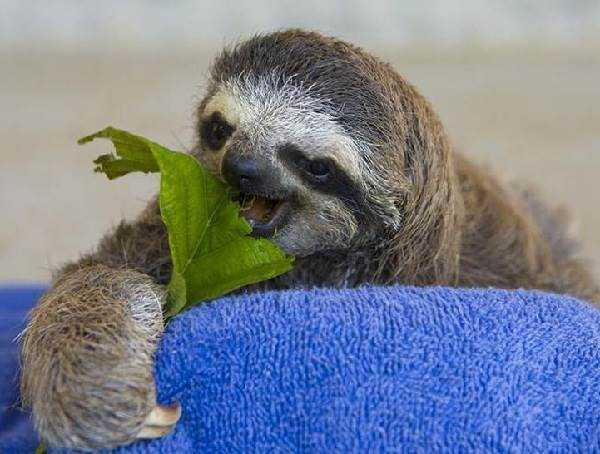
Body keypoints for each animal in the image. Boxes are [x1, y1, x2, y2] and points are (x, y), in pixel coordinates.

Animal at [20, 29, 600, 451]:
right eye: (220, 129)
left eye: (317, 166)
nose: (242, 166)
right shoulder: (168, 237)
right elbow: (103, 275)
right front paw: (93, 389)